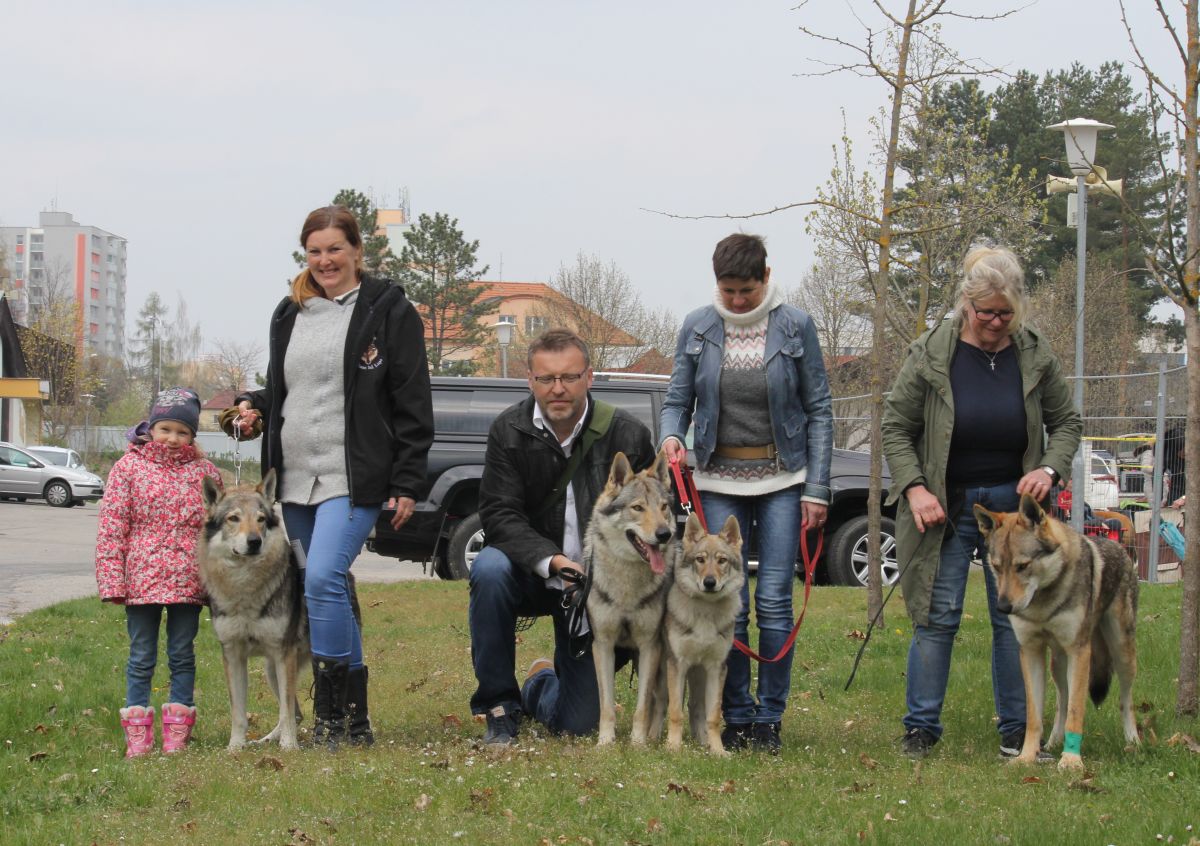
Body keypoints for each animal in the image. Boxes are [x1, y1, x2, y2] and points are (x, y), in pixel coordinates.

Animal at [583, 451, 676, 744]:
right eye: (637, 508)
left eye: (663, 507)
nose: (664, 534)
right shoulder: (603, 645)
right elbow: (606, 704)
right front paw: (605, 742)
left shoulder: (649, 646)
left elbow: (642, 706)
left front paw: (638, 743)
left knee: (662, 700)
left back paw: (655, 738)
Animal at [662, 511, 744, 753]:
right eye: (700, 559)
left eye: (721, 560)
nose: (709, 582)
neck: (706, 614)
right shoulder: (677, 664)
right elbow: (675, 712)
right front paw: (673, 747)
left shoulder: (716, 668)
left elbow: (713, 716)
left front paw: (717, 750)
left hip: (699, 675)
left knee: (696, 707)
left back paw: (703, 741)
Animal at [974, 492, 1132, 768]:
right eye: (996, 566)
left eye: (1022, 566)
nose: (1003, 607)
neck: (1043, 604)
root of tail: (1119, 547)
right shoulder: (1030, 651)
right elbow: (1034, 716)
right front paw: (1027, 757)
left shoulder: (1080, 652)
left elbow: (1077, 712)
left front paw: (1071, 761)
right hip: (1058, 665)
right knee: (1062, 702)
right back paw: (1053, 743)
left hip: (1121, 653)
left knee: (1125, 700)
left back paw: (1134, 743)